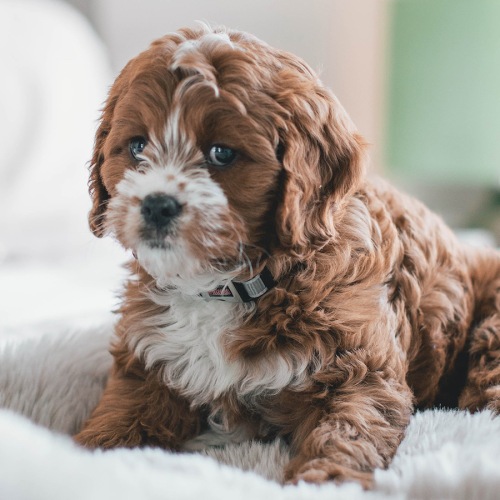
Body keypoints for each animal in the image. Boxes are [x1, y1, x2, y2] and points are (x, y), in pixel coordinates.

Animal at [74, 25, 500, 486]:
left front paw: (324, 482)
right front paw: (78, 455)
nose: (156, 205)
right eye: (137, 146)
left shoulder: (359, 371)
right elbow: (121, 417)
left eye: (221, 153)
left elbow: (345, 433)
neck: (228, 285)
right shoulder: (147, 364)